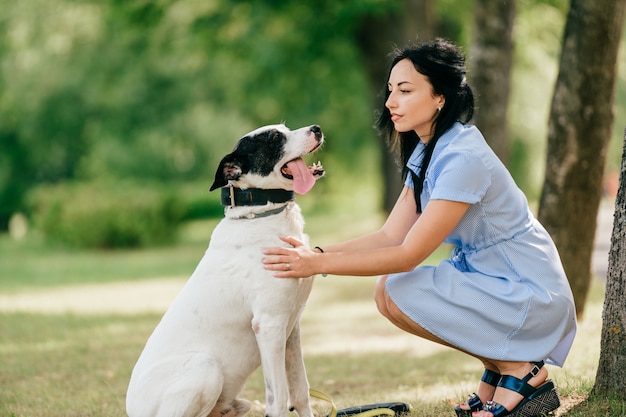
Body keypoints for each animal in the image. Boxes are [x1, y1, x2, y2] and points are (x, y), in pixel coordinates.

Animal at [125, 123, 324, 416]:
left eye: (286, 128)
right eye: (274, 138)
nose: (316, 128)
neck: (261, 213)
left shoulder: (291, 328)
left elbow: (300, 391)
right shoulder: (269, 325)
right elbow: (278, 398)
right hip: (206, 368)